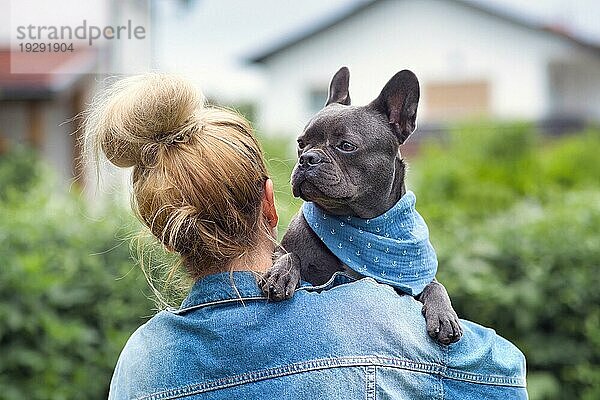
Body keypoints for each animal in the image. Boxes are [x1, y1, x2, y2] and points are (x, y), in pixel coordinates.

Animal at [260, 65, 462, 344]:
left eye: (346, 146)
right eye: (301, 143)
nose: (308, 158)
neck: (358, 221)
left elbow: (434, 285)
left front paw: (444, 314)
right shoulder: (282, 249)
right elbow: (288, 254)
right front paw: (280, 274)